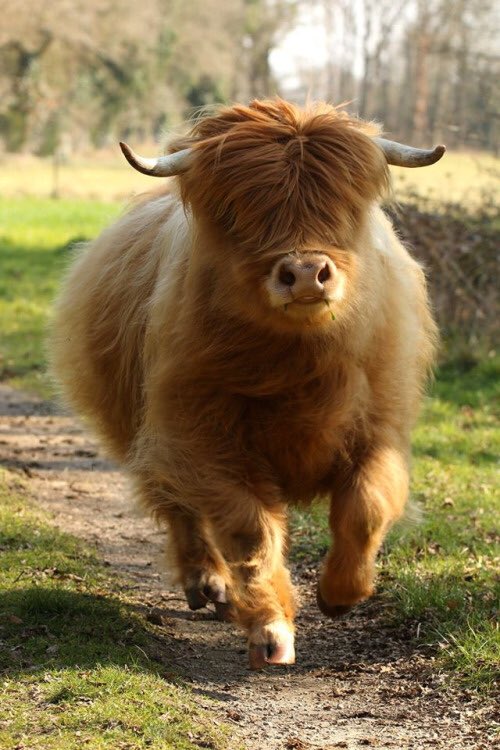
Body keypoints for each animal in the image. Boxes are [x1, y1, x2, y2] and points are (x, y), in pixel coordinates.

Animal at [50, 100, 442, 668]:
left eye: (347, 204)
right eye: (238, 213)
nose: (306, 273)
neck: (298, 362)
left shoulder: (380, 427)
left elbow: (366, 509)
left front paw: (340, 595)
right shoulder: (202, 437)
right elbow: (249, 532)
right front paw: (271, 632)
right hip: (149, 433)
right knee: (181, 510)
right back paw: (208, 585)